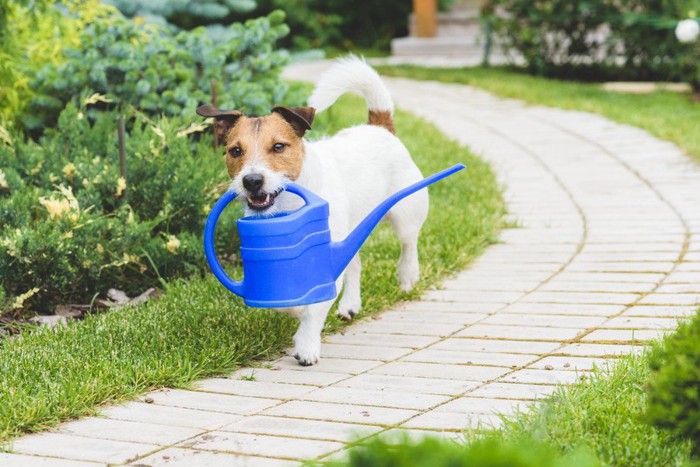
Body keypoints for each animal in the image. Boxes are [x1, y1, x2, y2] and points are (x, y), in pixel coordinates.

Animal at [196, 56, 426, 368]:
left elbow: (314, 309)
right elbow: (295, 301)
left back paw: (407, 275)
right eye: (235, 151)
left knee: (408, 242)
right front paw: (297, 310)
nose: (252, 180)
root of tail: (379, 126)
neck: (287, 206)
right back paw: (350, 305)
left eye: (278, 146)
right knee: (355, 264)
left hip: (405, 212)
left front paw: (306, 345)